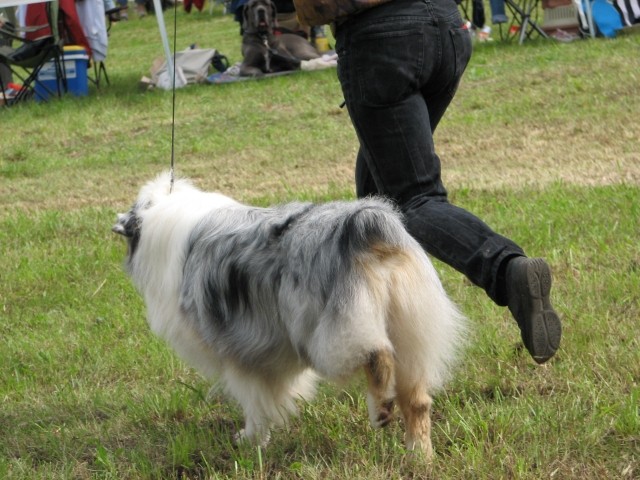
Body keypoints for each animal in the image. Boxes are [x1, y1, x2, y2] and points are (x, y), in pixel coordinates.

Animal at [114, 173, 464, 458]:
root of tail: (369, 225)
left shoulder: (241, 352)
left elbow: (255, 401)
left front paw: (251, 439)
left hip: (336, 331)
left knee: (377, 354)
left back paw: (381, 409)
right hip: (411, 329)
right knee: (418, 401)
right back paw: (419, 455)